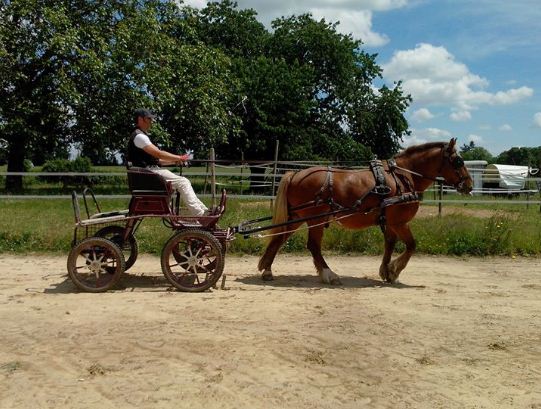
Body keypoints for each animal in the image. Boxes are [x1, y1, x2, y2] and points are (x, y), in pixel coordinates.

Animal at [258, 137, 472, 284]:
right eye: (459, 162)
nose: (469, 185)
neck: (402, 176)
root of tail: (295, 174)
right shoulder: (399, 222)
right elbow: (411, 245)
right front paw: (395, 270)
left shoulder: (390, 222)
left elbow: (390, 243)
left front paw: (386, 271)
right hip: (314, 219)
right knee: (313, 246)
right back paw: (329, 274)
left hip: (296, 217)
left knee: (279, 238)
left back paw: (267, 269)